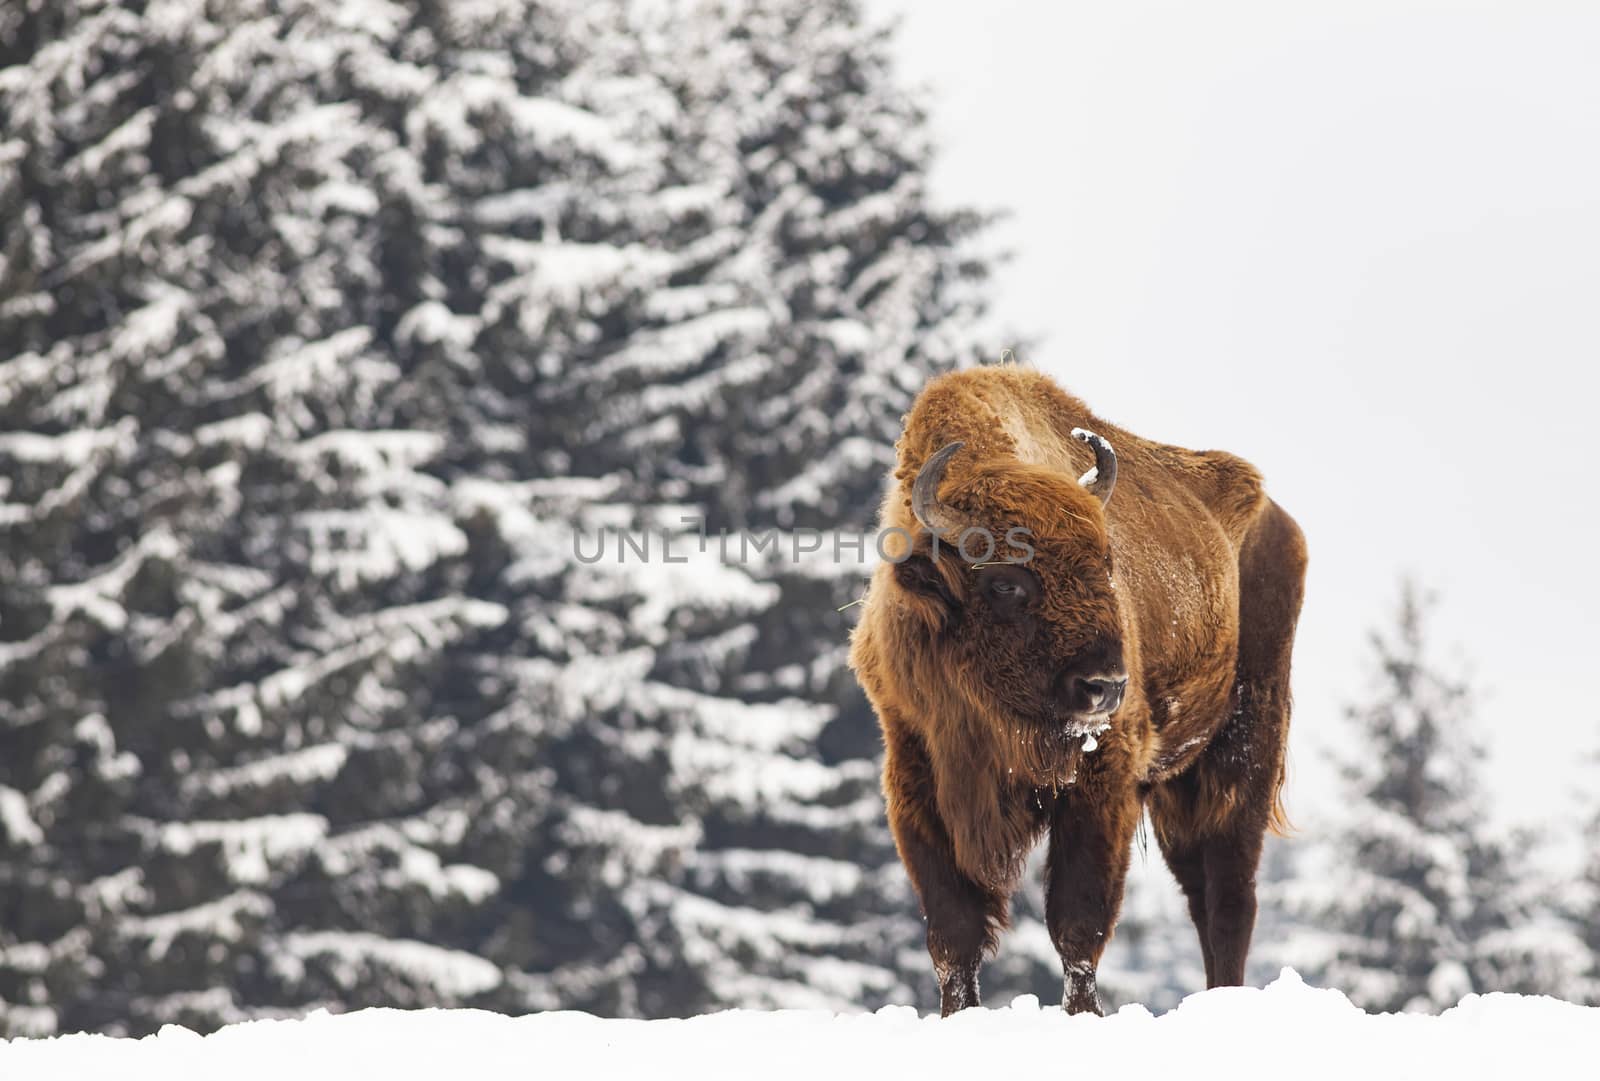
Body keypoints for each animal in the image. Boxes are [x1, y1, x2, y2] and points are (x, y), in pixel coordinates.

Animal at [844, 367, 1305, 1017]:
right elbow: (953, 931)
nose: (1105, 686)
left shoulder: (1101, 782)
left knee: (1229, 896)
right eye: (1007, 582)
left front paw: (1084, 1014)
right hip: (1178, 788)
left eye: (1107, 564)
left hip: (1246, 748)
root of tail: (1277, 521)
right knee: (1202, 891)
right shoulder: (917, 776)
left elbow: (1077, 920)